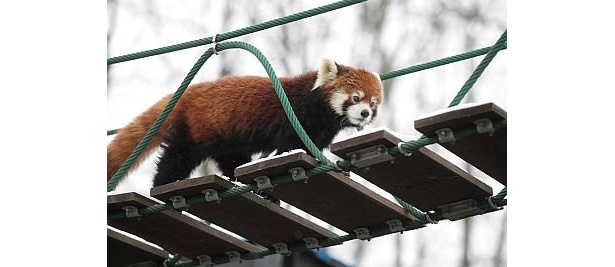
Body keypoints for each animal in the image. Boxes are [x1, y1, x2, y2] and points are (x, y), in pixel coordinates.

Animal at [106, 58, 384, 188]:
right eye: (356, 97)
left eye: (373, 103)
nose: (364, 114)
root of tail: (188, 93)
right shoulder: (295, 115)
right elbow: (290, 146)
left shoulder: (321, 131)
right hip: (196, 128)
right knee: (177, 157)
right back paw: (164, 185)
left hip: (225, 139)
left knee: (231, 160)